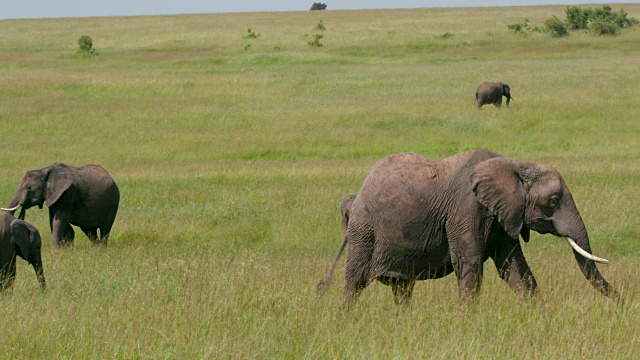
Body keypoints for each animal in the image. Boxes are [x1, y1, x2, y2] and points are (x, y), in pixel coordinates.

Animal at [318, 148, 616, 306]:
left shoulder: (503, 217)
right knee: (355, 281)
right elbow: (469, 263)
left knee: (402, 286)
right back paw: (348, 316)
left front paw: (539, 313)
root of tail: (355, 197)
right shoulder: (466, 209)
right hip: (364, 230)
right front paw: (467, 318)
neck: (513, 164)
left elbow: (514, 267)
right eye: (553, 200)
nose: (621, 301)